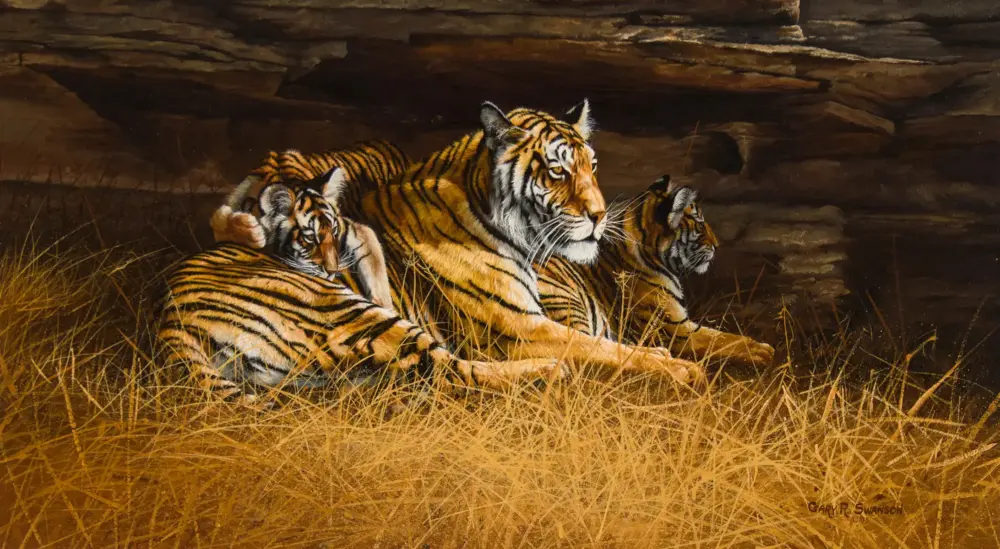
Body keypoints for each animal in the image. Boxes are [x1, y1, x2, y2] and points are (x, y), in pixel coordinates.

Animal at [210, 140, 411, 309]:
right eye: (310, 238)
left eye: (334, 231)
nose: (333, 271)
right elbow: (217, 218)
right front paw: (252, 231)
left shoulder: (356, 229)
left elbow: (377, 273)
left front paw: (385, 307)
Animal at [537, 175, 775, 366]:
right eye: (700, 225)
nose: (717, 245)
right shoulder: (674, 328)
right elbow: (722, 339)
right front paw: (762, 351)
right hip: (567, 302)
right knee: (588, 347)